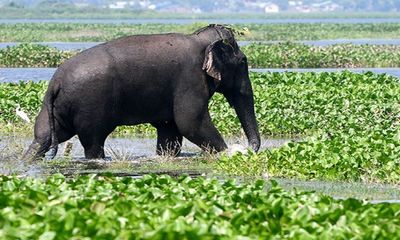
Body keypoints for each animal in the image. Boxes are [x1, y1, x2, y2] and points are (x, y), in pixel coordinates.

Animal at [24, 23, 262, 159]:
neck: (199, 38)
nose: (249, 148)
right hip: (89, 105)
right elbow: (190, 122)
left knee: (44, 136)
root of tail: (56, 82)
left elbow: (170, 129)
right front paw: (230, 154)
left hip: (56, 107)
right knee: (93, 141)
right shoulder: (190, 79)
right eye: (243, 61)